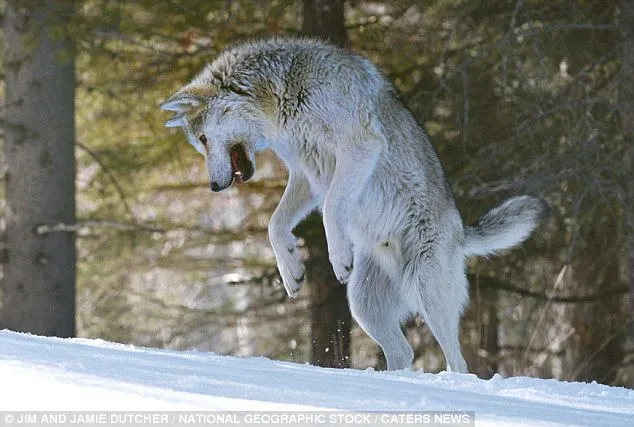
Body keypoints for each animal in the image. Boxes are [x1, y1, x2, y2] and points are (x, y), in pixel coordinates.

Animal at [159, 36, 548, 372]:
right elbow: (274, 224)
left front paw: (339, 257)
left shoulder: (359, 147)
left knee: (459, 361)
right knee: (404, 352)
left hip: (427, 293)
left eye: (203, 139)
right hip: (364, 306)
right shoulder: (306, 173)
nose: (214, 186)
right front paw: (291, 270)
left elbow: (333, 207)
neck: (282, 94)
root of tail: (462, 232)